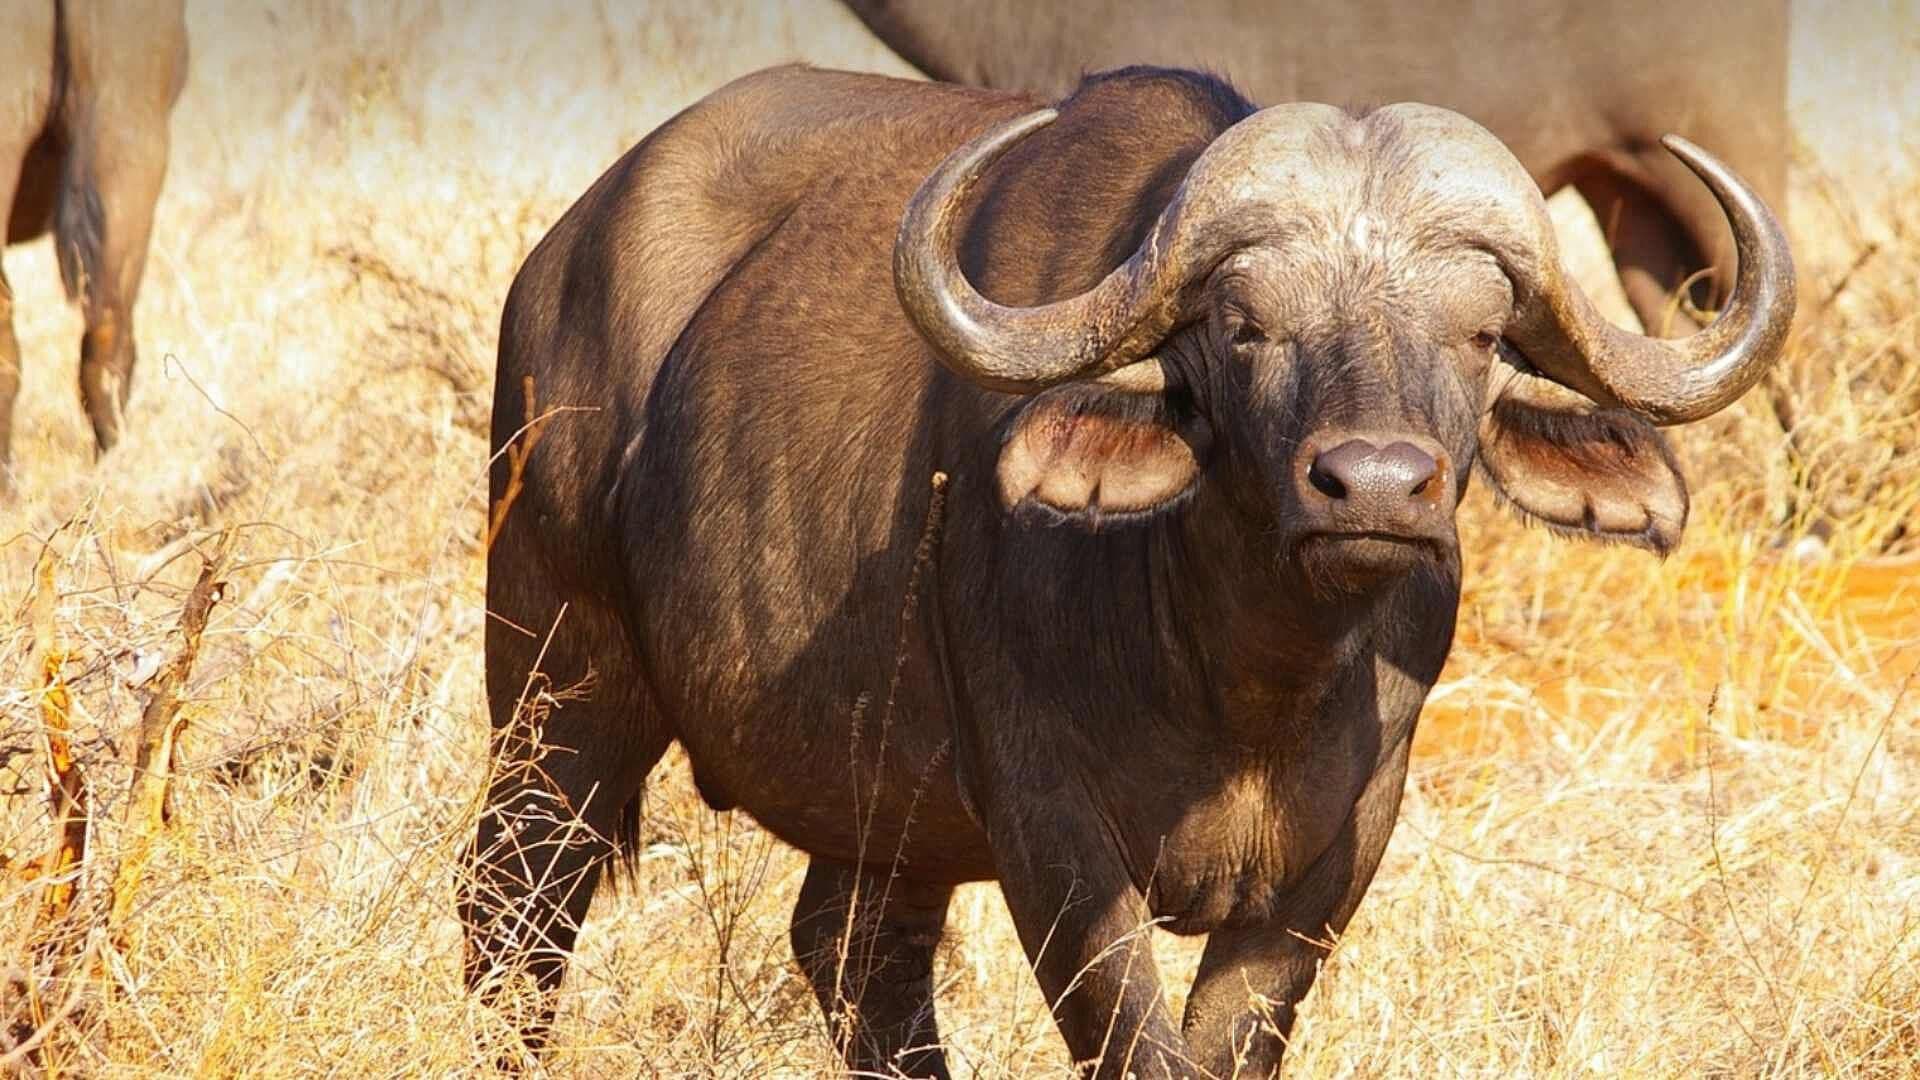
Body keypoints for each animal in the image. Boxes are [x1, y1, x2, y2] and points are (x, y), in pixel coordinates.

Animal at [465, 65, 1793, 1077]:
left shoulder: (1334, 860)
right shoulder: (1051, 836)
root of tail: (563, 255)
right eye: (1245, 326)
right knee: (515, 910)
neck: (1241, 680)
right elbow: (1133, 1043)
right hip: (556, 683)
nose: (1372, 485)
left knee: (853, 955)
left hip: (880, 803)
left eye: (1476, 335)